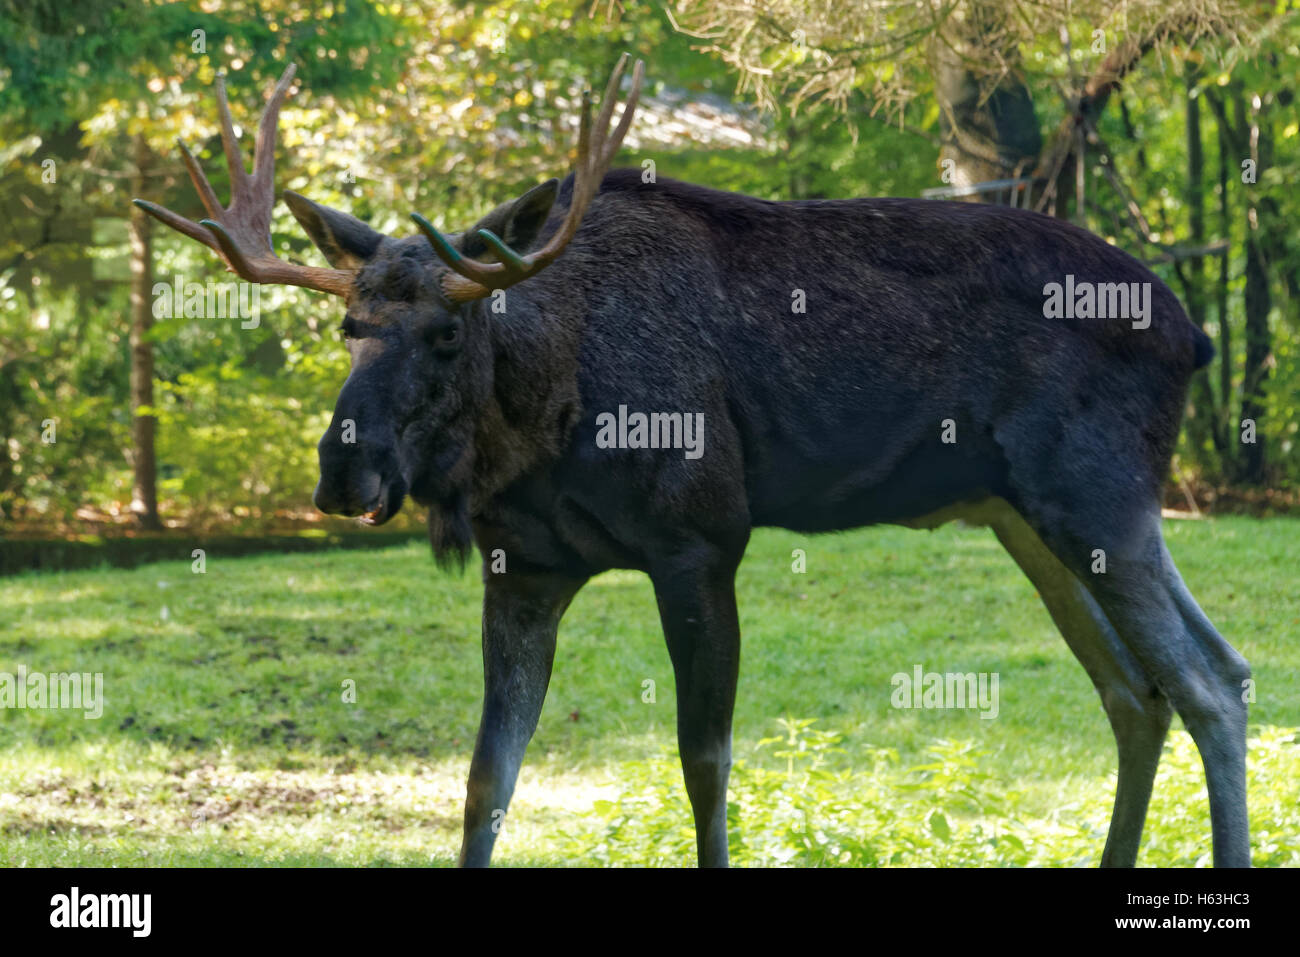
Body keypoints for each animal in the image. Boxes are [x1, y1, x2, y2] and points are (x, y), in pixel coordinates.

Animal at [134, 57, 1248, 868]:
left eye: (448, 333)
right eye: (348, 327)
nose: (342, 472)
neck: (543, 425)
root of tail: (1196, 336)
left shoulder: (703, 540)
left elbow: (703, 762)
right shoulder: (525, 566)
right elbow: (487, 776)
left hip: (1095, 501)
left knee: (1206, 686)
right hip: (1034, 516)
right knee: (1146, 689)